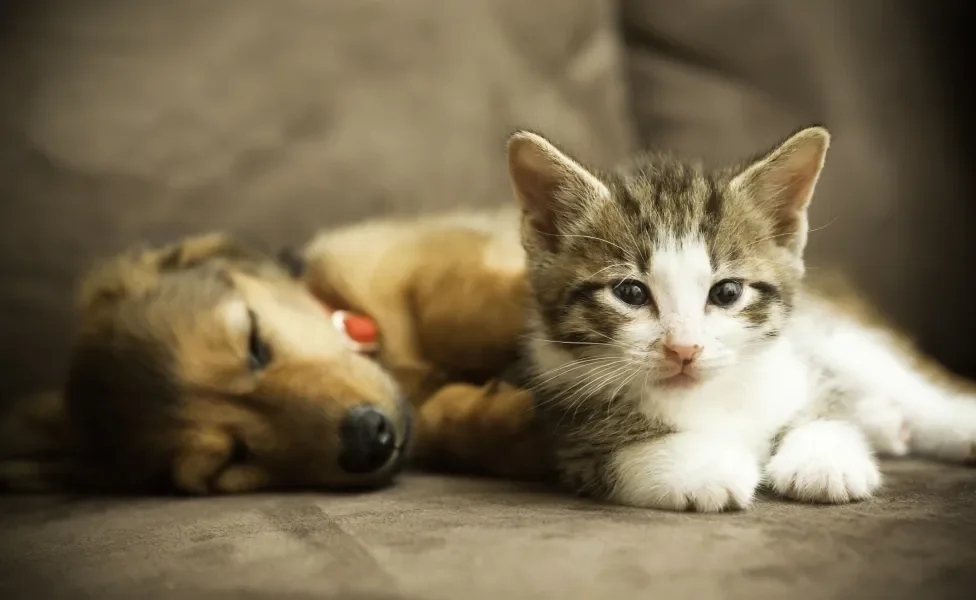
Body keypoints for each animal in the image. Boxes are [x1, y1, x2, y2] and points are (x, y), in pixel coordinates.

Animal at [508, 125, 976, 510]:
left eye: (727, 292)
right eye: (630, 293)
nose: (684, 349)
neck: (714, 393)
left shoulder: (797, 358)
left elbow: (825, 405)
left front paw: (823, 458)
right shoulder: (562, 422)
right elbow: (610, 448)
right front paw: (701, 466)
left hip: (839, 335)